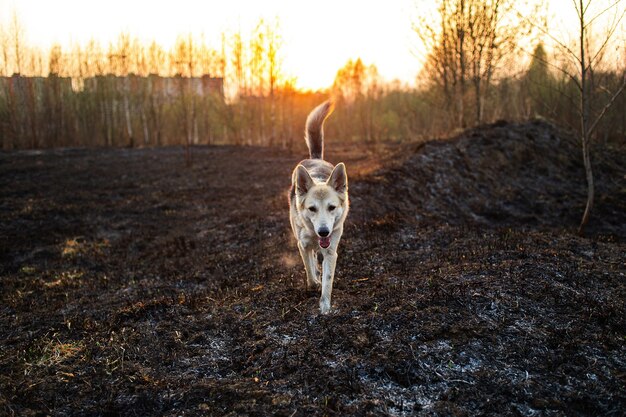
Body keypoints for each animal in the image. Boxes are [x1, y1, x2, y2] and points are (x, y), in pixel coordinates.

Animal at [288, 101, 346, 312]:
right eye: (312, 209)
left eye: (332, 207)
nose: (323, 231)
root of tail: (315, 158)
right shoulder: (302, 244)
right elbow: (310, 274)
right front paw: (314, 283)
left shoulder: (330, 251)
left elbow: (328, 281)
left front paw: (325, 308)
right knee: (312, 260)